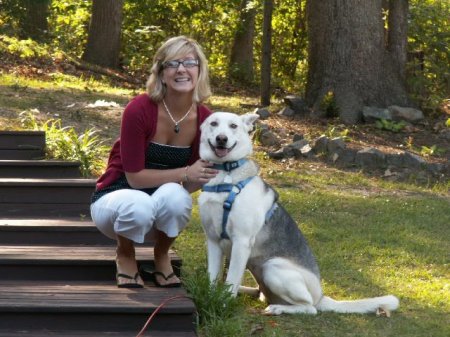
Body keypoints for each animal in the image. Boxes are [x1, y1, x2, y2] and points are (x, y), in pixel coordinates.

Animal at [199, 111, 400, 314]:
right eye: (213, 123)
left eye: (233, 126)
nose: (221, 139)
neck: (226, 177)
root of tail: (321, 297)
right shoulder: (213, 241)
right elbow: (212, 278)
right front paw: (210, 297)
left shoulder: (241, 242)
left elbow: (231, 281)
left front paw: (222, 305)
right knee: (261, 294)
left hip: (272, 267)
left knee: (309, 308)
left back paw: (278, 308)